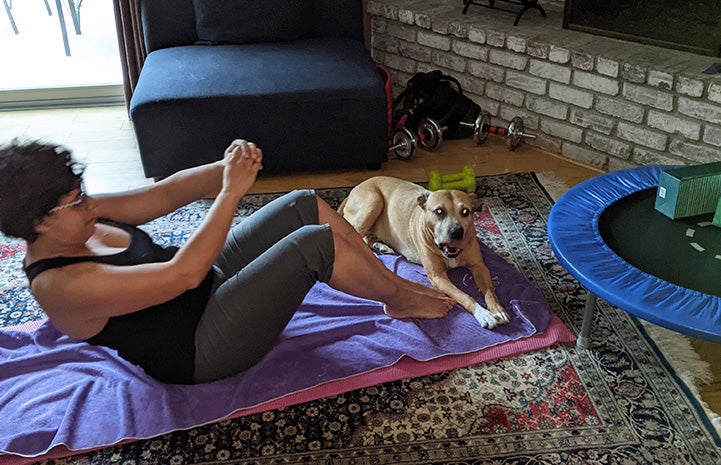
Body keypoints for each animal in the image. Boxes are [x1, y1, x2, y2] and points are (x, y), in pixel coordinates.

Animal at [340, 176, 510, 328]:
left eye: (465, 211)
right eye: (439, 211)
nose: (456, 232)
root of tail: (354, 190)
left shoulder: (479, 266)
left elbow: (489, 291)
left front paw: (498, 310)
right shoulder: (438, 276)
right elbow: (463, 295)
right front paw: (483, 314)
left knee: (366, 236)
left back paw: (380, 246)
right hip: (373, 202)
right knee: (355, 233)